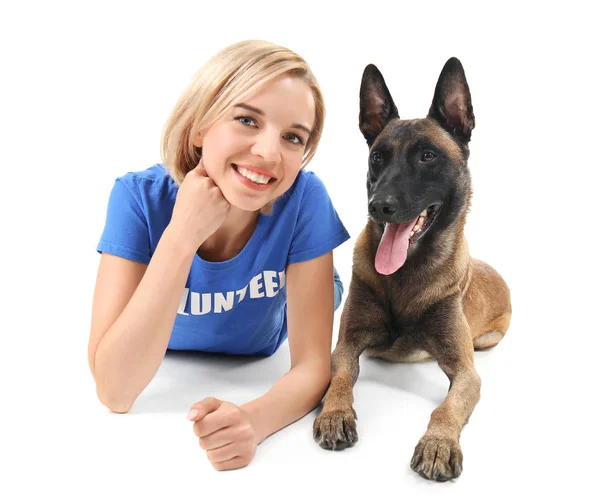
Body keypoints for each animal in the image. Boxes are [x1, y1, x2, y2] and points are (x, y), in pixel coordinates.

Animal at [312, 57, 512, 480]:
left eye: (428, 156)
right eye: (377, 158)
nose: (379, 206)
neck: (406, 277)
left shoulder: (466, 371)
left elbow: (446, 406)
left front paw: (438, 443)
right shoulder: (347, 344)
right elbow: (341, 377)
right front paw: (335, 412)